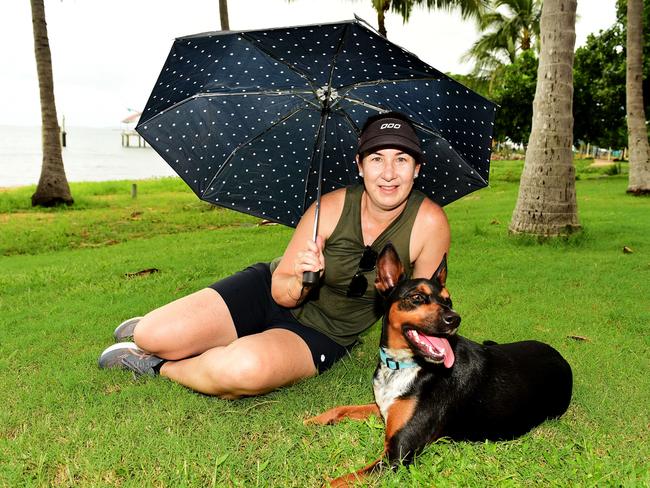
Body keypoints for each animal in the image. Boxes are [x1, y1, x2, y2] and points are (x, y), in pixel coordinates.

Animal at [306, 243, 568, 484]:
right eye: (417, 297)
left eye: (448, 301)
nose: (455, 319)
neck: (405, 366)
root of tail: (560, 357)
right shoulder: (383, 407)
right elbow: (343, 408)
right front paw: (313, 420)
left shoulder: (396, 456)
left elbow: (337, 481)